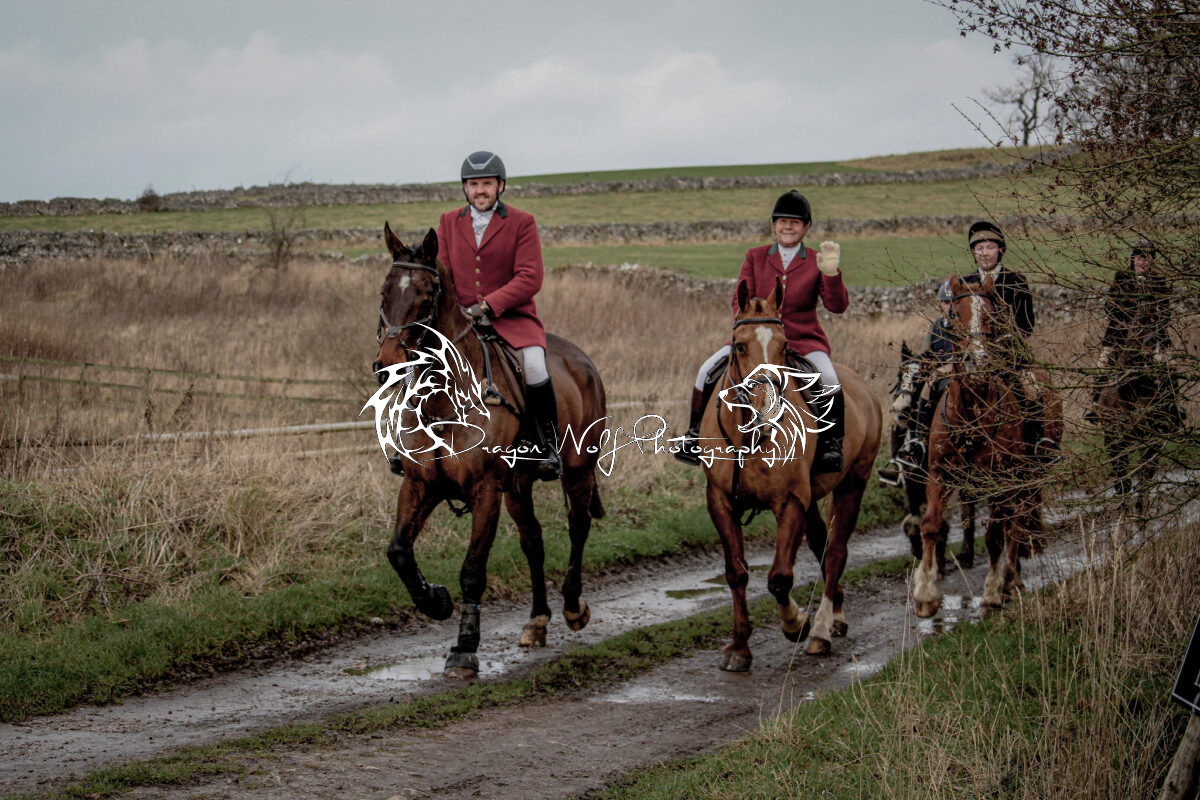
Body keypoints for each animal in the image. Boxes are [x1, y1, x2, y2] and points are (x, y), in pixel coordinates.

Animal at [370, 223, 607, 678]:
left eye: (427, 296)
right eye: (384, 291)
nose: (386, 364)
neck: (443, 399)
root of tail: (580, 359)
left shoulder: (484, 492)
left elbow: (472, 571)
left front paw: (464, 647)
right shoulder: (420, 486)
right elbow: (398, 552)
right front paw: (435, 600)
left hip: (578, 469)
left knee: (578, 526)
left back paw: (572, 606)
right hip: (517, 487)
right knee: (533, 540)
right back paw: (537, 620)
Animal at [699, 278, 882, 671]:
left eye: (784, 346)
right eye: (740, 345)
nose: (768, 407)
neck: (751, 433)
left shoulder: (790, 502)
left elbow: (780, 577)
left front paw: (796, 623)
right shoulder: (720, 500)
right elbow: (736, 573)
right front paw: (739, 647)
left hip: (853, 485)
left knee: (835, 553)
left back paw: (821, 631)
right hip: (812, 497)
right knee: (821, 545)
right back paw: (836, 615)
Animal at [887, 341, 977, 571]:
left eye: (920, 377)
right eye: (900, 376)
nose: (900, 411)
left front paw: (937, 562)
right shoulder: (911, 478)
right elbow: (913, 515)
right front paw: (918, 548)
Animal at [913, 274, 1050, 617]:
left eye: (992, 316)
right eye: (954, 317)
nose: (976, 362)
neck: (971, 413)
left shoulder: (999, 480)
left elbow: (994, 537)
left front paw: (991, 592)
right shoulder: (938, 474)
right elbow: (931, 525)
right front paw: (924, 594)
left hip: (1025, 479)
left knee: (1016, 525)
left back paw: (1010, 580)